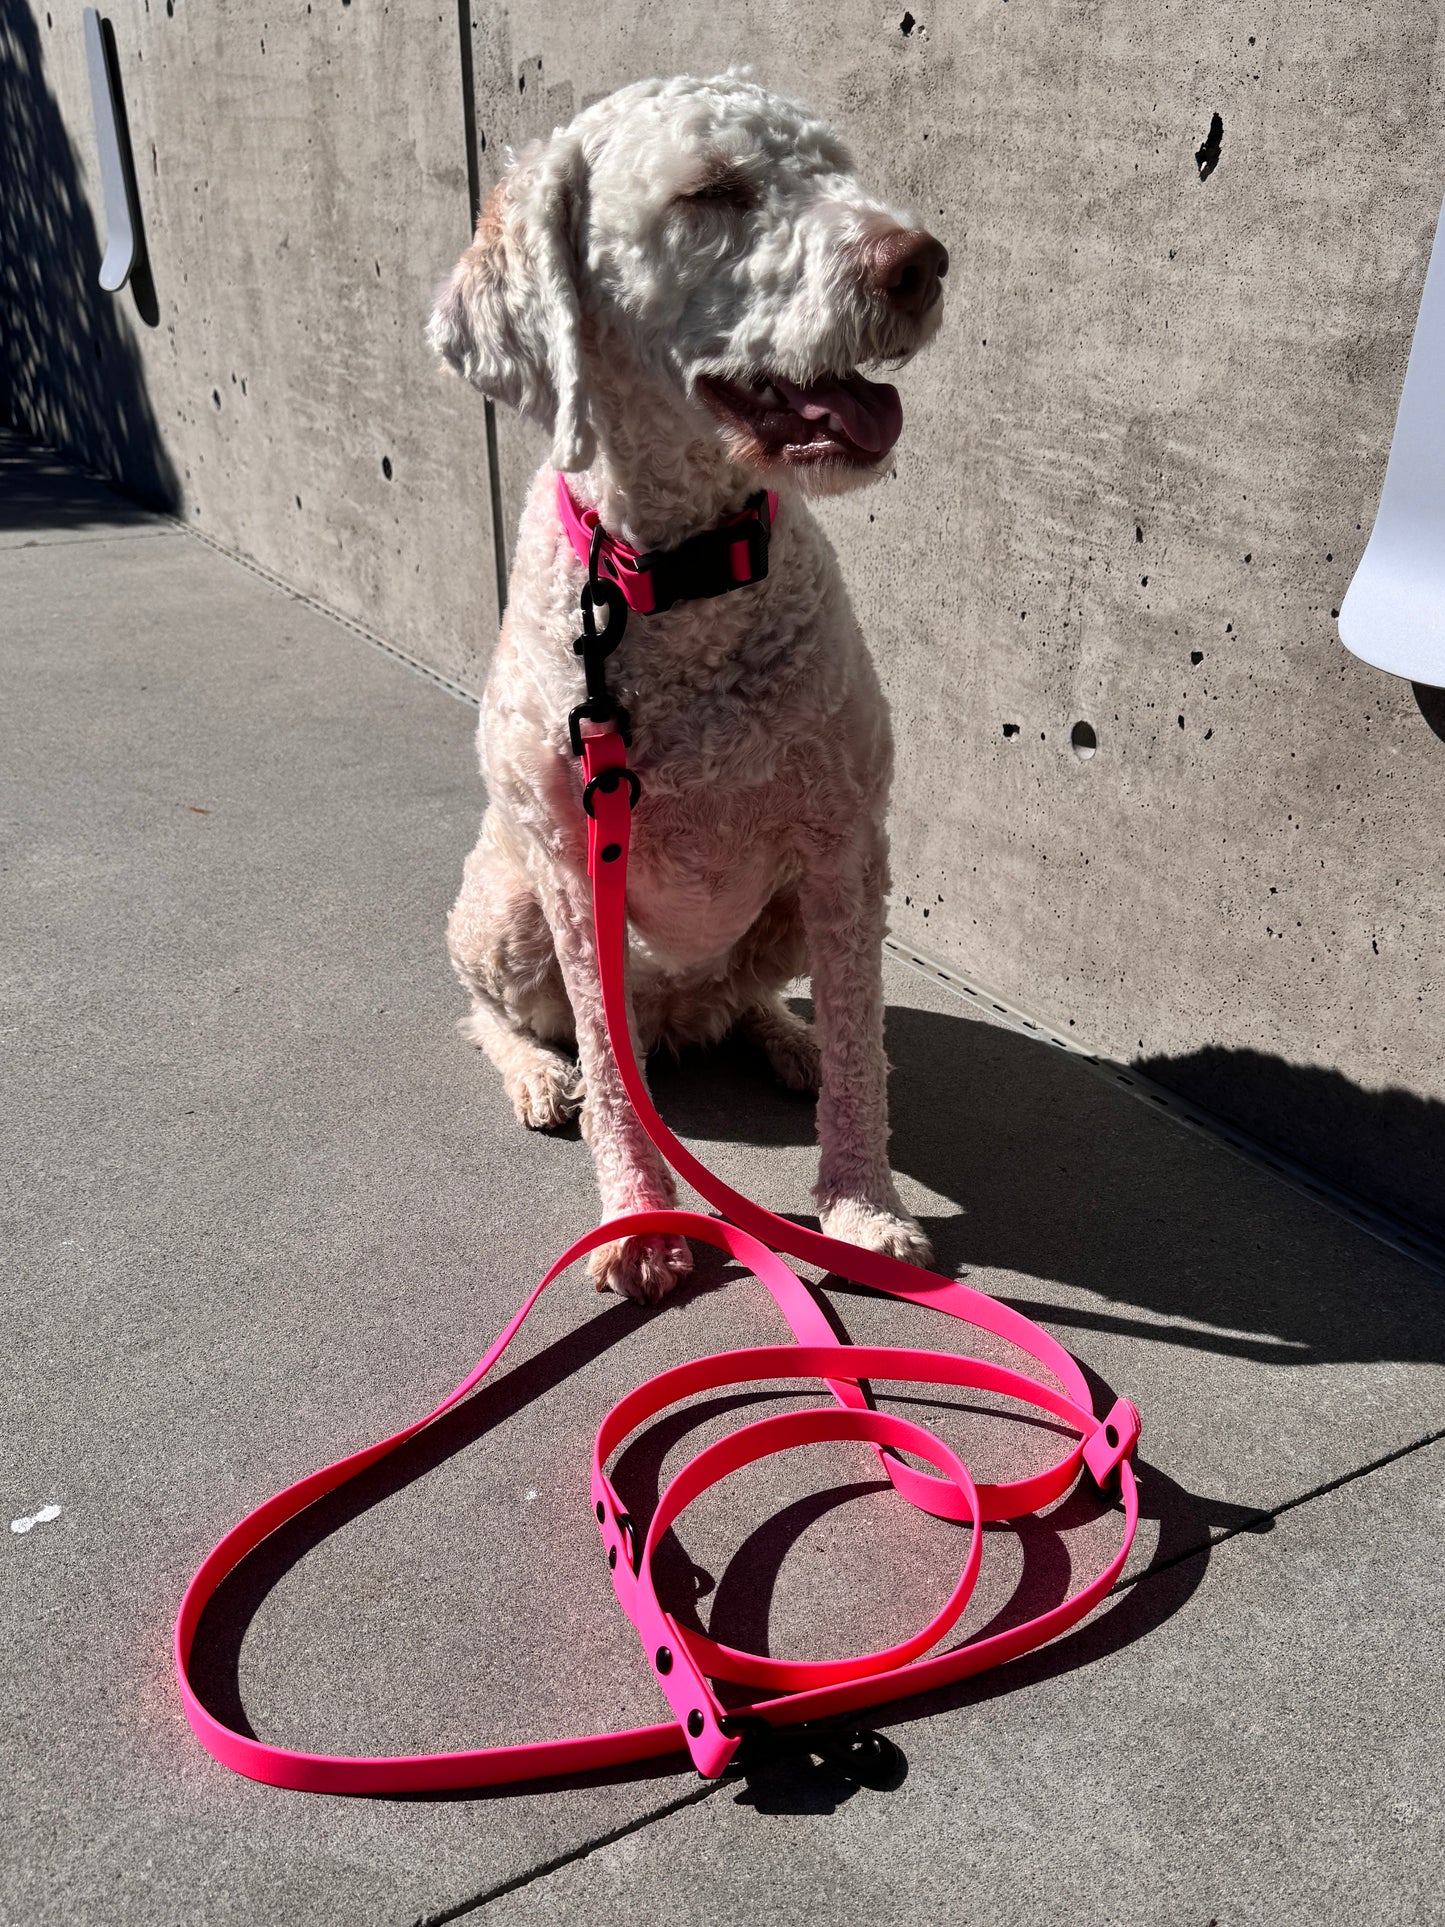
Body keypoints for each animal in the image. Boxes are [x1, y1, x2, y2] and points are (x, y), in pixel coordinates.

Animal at [429, 75, 951, 1310]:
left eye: (835, 166)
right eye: (711, 193)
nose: (920, 260)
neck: (678, 576)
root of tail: (676, 1010)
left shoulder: (845, 842)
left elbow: (860, 1049)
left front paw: (861, 1209)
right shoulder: (572, 870)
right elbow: (609, 1069)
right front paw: (639, 1222)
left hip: (787, 911)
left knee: (762, 1003)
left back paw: (779, 1035)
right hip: (505, 905)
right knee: (499, 1013)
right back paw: (536, 1072)